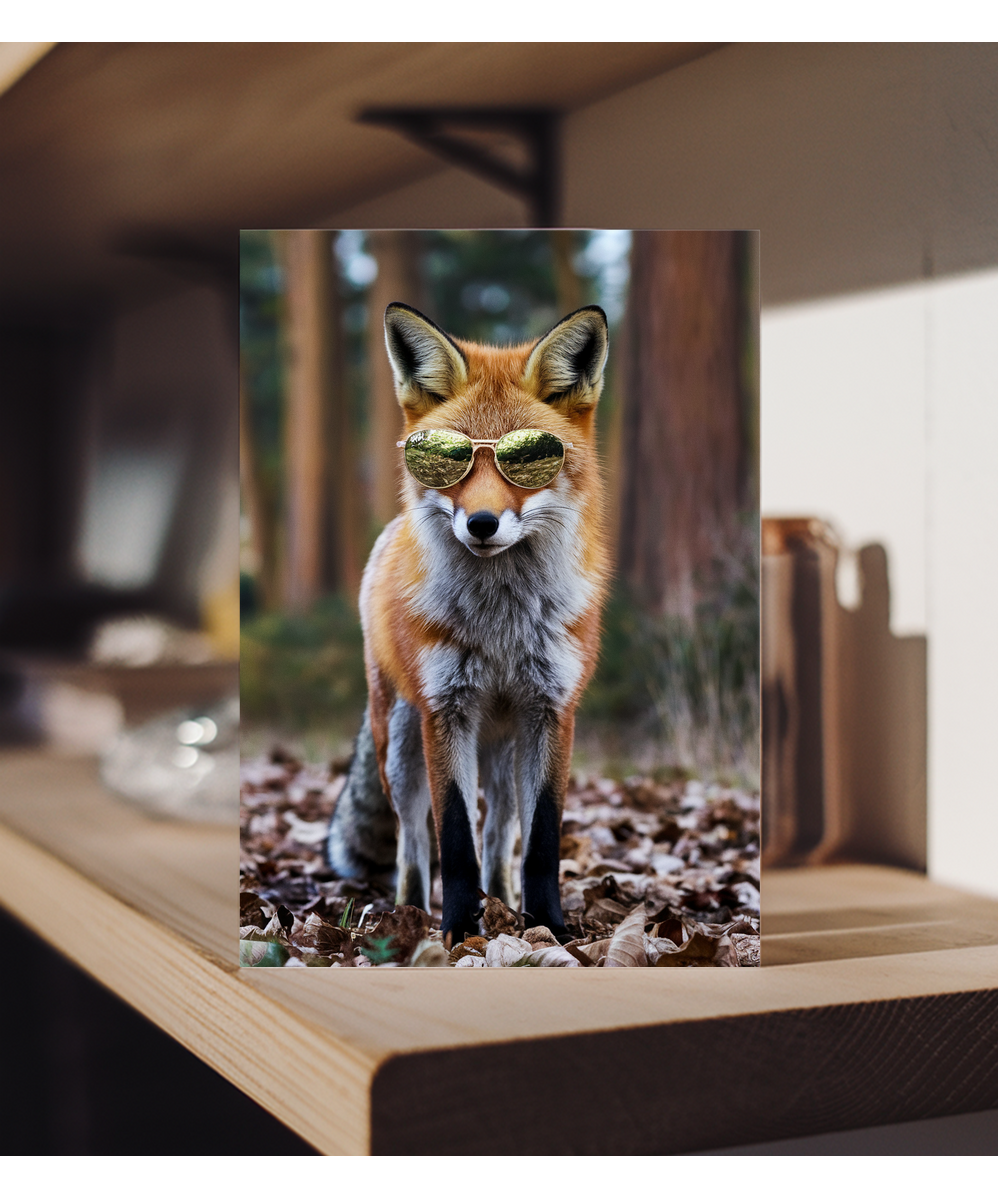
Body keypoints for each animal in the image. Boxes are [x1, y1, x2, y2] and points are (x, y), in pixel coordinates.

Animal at [326, 301, 610, 946]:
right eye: (447, 460)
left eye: (530, 459)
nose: (481, 523)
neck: (501, 627)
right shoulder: (446, 709)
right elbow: (452, 837)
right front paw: (458, 929)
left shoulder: (552, 711)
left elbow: (540, 840)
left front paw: (549, 927)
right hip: (401, 744)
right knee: (411, 840)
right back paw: (409, 915)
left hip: (503, 754)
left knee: (501, 833)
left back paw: (503, 901)